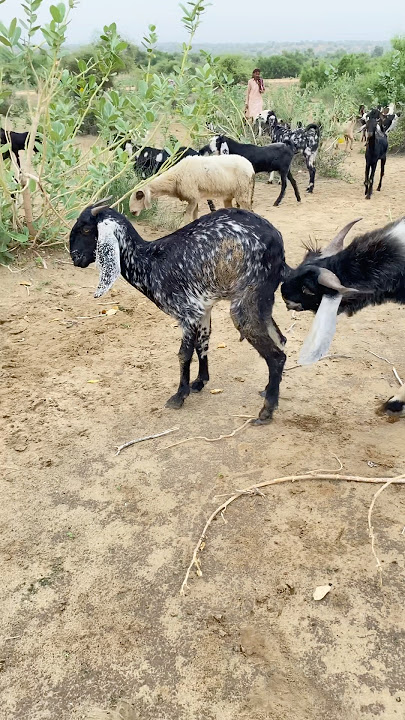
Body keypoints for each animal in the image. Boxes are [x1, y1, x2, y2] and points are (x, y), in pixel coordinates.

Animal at [70, 202, 287, 424]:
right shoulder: (202, 309)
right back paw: (268, 391)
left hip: (246, 300)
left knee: (276, 356)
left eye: (86, 229)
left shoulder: (187, 313)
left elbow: (184, 354)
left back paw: (266, 411)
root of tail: (277, 242)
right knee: (280, 339)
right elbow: (202, 344)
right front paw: (200, 381)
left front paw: (179, 396)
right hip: (262, 302)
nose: (75, 257)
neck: (149, 262)